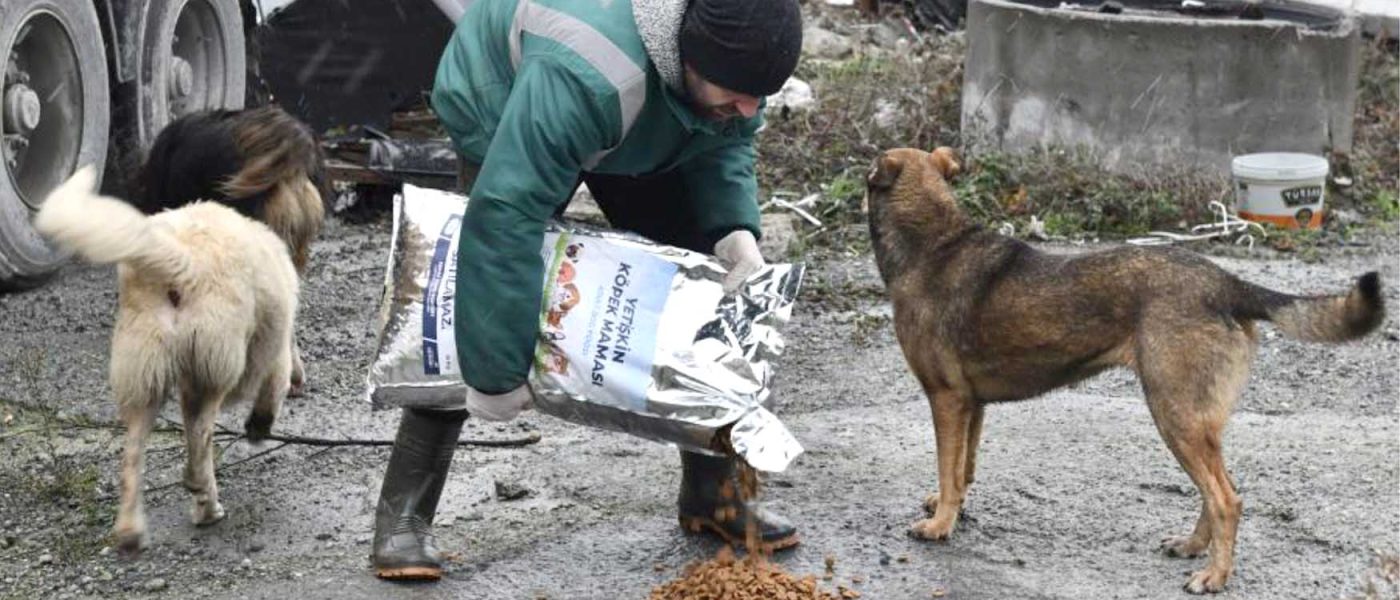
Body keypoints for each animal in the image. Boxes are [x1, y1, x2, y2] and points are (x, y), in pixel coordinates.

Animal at [36, 165, 301, 553]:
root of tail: (183, 263)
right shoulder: (274, 353)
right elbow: (272, 392)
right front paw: (259, 427)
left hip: (143, 378)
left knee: (134, 454)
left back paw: (134, 531)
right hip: (216, 367)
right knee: (203, 434)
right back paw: (201, 495)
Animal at [862, 147, 1388, 590]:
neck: (935, 241)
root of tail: (1227, 283)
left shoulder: (946, 399)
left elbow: (948, 470)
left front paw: (939, 525)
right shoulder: (973, 404)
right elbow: (963, 469)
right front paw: (947, 507)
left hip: (1172, 413)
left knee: (1226, 499)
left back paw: (1214, 576)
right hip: (1197, 421)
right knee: (1220, 490)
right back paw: (1193, 546)